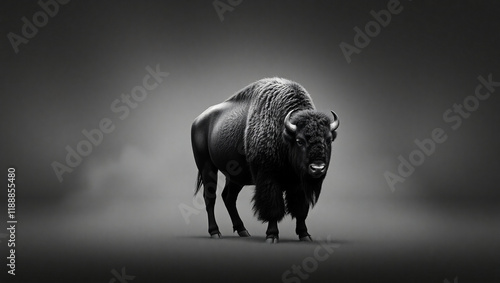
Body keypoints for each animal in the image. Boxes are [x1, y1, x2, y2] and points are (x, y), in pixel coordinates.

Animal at [191, 77, 340, 244]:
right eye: (300, 140)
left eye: (328, 139)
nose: (318, 168)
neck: (284, 134)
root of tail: (197, 121)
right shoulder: (269, 179)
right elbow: (273, 207)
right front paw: (272, 236)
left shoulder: (299, 183)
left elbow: (300, 208)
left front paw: (304, 235)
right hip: (207, 168)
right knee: (210, 198)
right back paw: (215, 232)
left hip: (235, 177)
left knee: (228, 197)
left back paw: (243, 230)